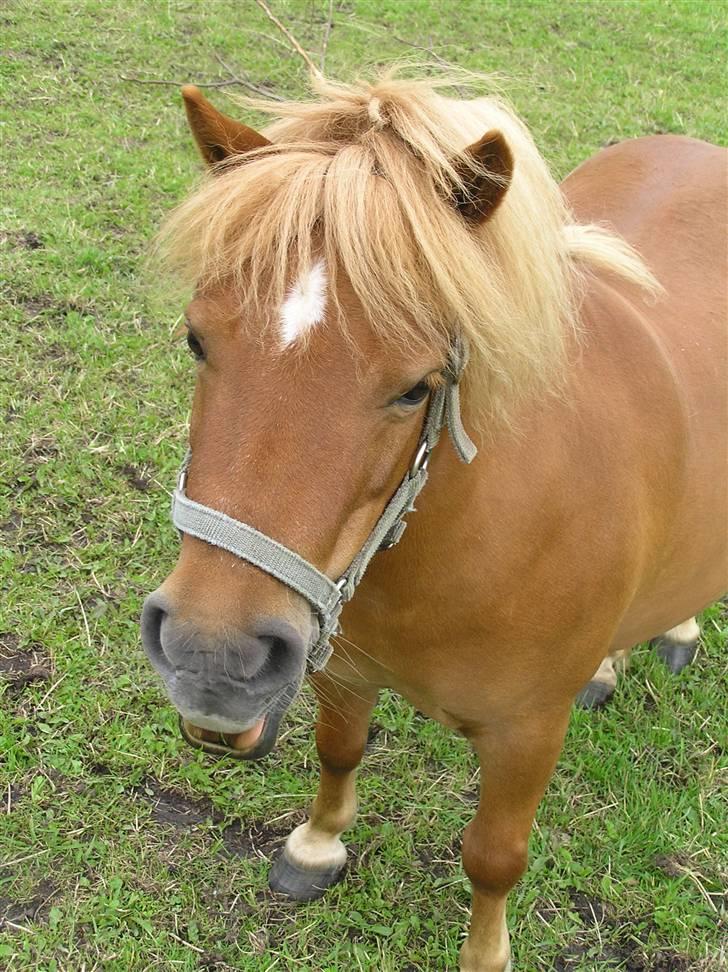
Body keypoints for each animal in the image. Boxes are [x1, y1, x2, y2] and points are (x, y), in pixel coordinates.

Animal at [140, 73, 727, 971]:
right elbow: (339, 751)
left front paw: (486, 955)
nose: (214, 658)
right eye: (198, 341)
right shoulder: (343, 670)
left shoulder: (528, 733)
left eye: (417, 388)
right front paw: (317, 847)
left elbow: (494, 856)